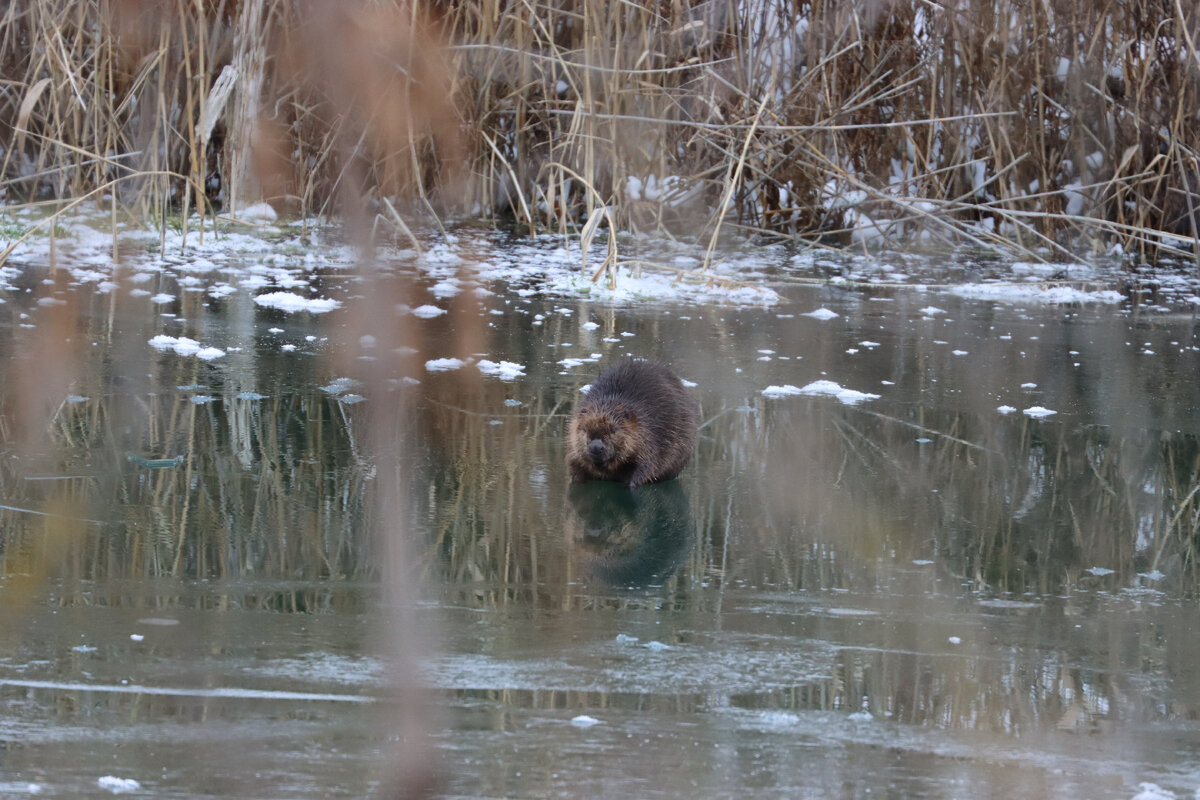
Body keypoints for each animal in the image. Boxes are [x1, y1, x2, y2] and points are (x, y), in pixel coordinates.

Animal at [566, 362, 700, 489]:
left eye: (614, 430)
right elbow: (576, 468)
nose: (596, 446)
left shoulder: (648, 441)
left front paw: (629, 486)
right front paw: (578, 482)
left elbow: (643, 468)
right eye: (584, 429)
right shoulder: (574, 451)